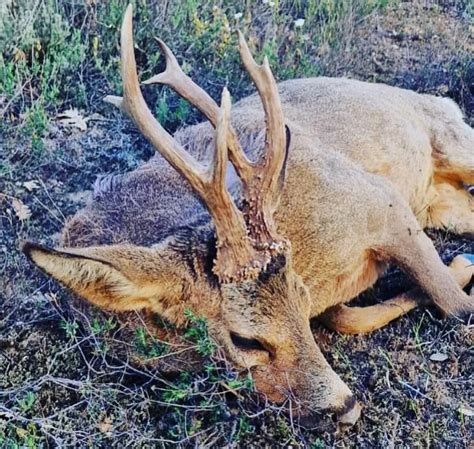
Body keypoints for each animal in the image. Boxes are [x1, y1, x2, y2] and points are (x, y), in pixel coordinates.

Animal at [23, 4, 474, 424]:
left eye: (302, 300)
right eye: (246, 341)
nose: (346, 408)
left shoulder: (380, 201)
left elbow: (457, 307)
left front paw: (458, 269)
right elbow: (348, 317)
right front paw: (455, 267)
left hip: (452, 141)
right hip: (441, 203)